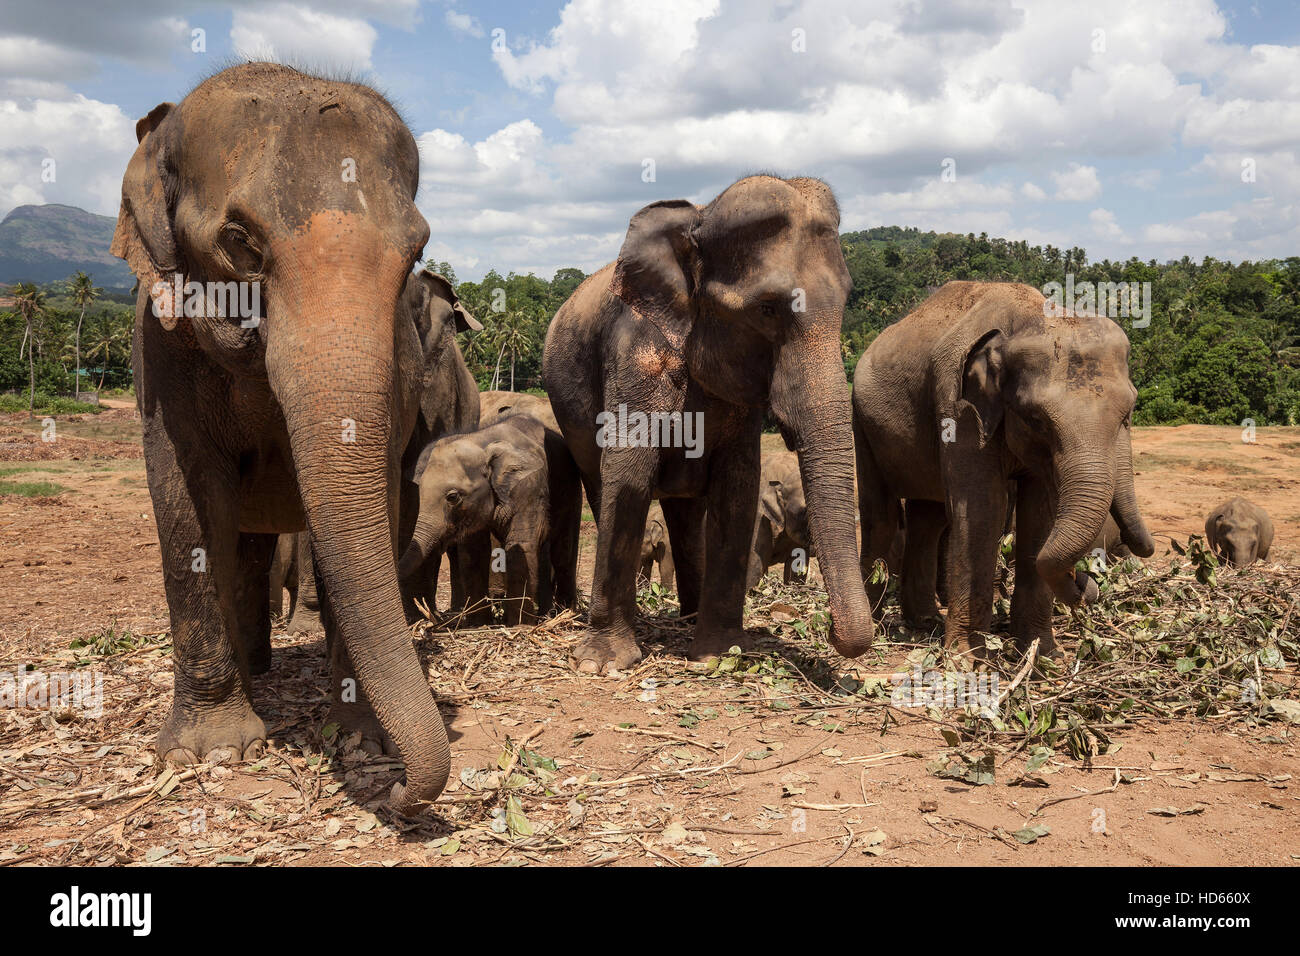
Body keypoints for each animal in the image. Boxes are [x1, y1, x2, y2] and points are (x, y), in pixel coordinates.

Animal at [113, 61, 457, 806]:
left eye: (416, 250)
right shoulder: (157, 343)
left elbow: (379, 499)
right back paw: (254, 675)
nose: (400, 790)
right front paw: (210, 751)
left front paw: (359, 740)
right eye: (240, 243)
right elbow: (184, 501)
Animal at [395, 416, 579, 624]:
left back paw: (562, 614)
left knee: (563, 552)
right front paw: (479, 624)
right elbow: (474, 552)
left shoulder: (528, 487)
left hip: (571, 486)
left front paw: (518, 626)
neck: (480, 441)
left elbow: (520, 546)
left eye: (452, 497)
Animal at [538, 175, 873, 676]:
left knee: (685, 511)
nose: (829, 630)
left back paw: (688, 617)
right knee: (602, 486)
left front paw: (719, 654)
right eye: (767, 309)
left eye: (847, 302)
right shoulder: (634, 354)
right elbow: (629, 477)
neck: (698, 217)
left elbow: (738, 484)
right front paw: (603, 664)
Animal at [857, 282, 1154, 658]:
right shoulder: (958, 406)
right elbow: (984, 509)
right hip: (860, 421)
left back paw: (925, 622)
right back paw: (877, 628)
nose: (1087, 584)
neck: (1026, 319)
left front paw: (1043, 654)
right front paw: (968, 659)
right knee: (880, 514)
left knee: (928, 517)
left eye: (1127, 413)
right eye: (1037, 419)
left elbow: (1039, 513)